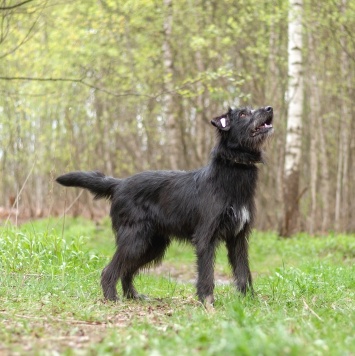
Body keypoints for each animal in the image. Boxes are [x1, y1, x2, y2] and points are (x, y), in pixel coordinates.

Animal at [55, 106, 274, 306]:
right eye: (243, 114)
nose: (269, 108)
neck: (233, 170)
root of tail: (119, 184)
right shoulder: (205, 237)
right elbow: (206, 273)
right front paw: (207, 301)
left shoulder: (238, 238)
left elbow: (243, 271)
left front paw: (250, 301)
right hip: (135, 239)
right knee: (110, 270)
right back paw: (111, 298)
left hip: (153, 245)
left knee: (127, 270)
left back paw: (133, 296)